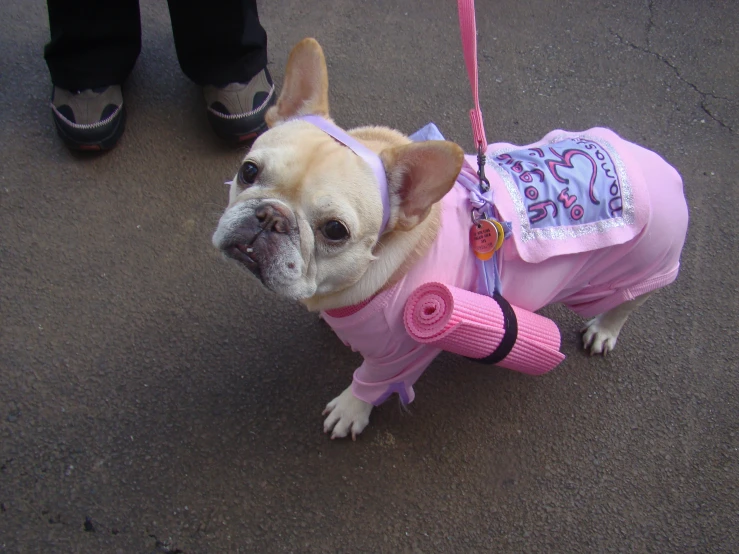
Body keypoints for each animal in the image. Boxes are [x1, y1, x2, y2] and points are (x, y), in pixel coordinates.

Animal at [211, 38, 692, 438]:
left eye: (334, 231)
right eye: (248, 170)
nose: (270, 217)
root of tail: (661, 166)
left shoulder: (400, 354)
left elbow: (372, 381)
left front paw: (351, 409)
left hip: (634, 270)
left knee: (628, 302)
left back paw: (604, 330)